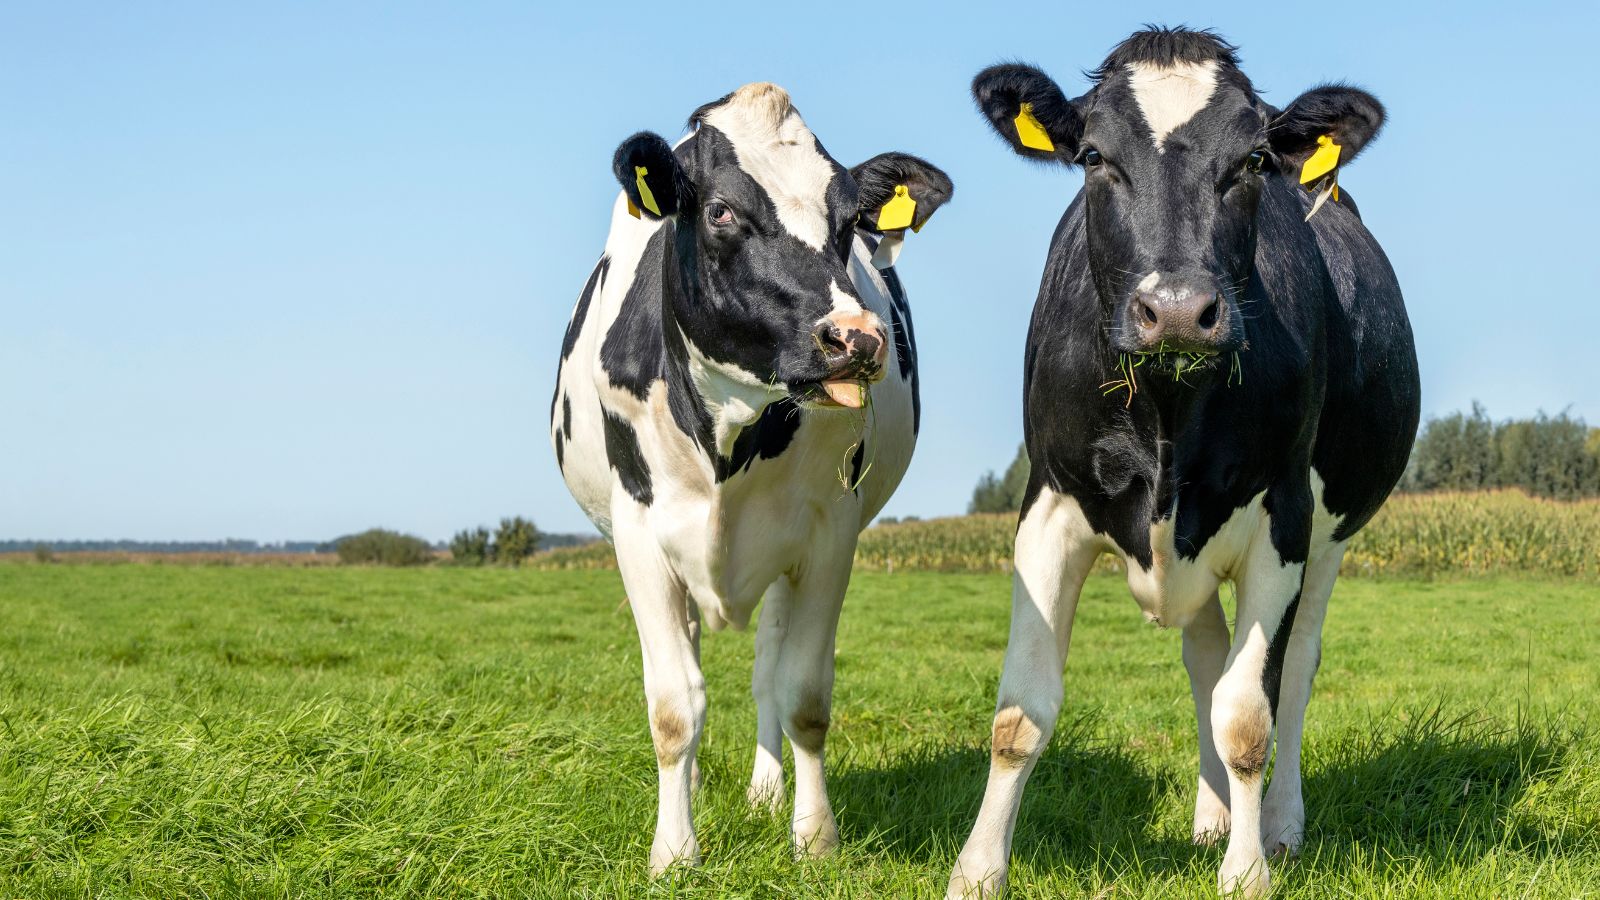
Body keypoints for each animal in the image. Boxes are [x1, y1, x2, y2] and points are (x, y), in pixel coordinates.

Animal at [551, 82, 952, 874]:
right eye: (720, 212)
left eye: (849, 221)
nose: (857, 339)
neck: (728, 437)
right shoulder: (639, 534)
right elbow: (674, 706)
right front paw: (674, 852)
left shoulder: (829, 534)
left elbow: (803, 694)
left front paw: (814, 839)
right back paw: (699, 788)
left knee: (768, 666)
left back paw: (766, 793)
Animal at [944, 28, 1419, 898]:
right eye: (1093, 156)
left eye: (1255, 159)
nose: (1173, 311)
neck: (1167, 408)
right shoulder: (1048, 507)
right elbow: (1020, 713)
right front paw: (978, 869)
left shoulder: (1284, 519)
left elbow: (1248, 716)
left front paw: (1250, 869)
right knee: (1205, 656)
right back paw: (1212, 818)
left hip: (1331, 536)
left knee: (1293, 668)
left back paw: (1280, 826)